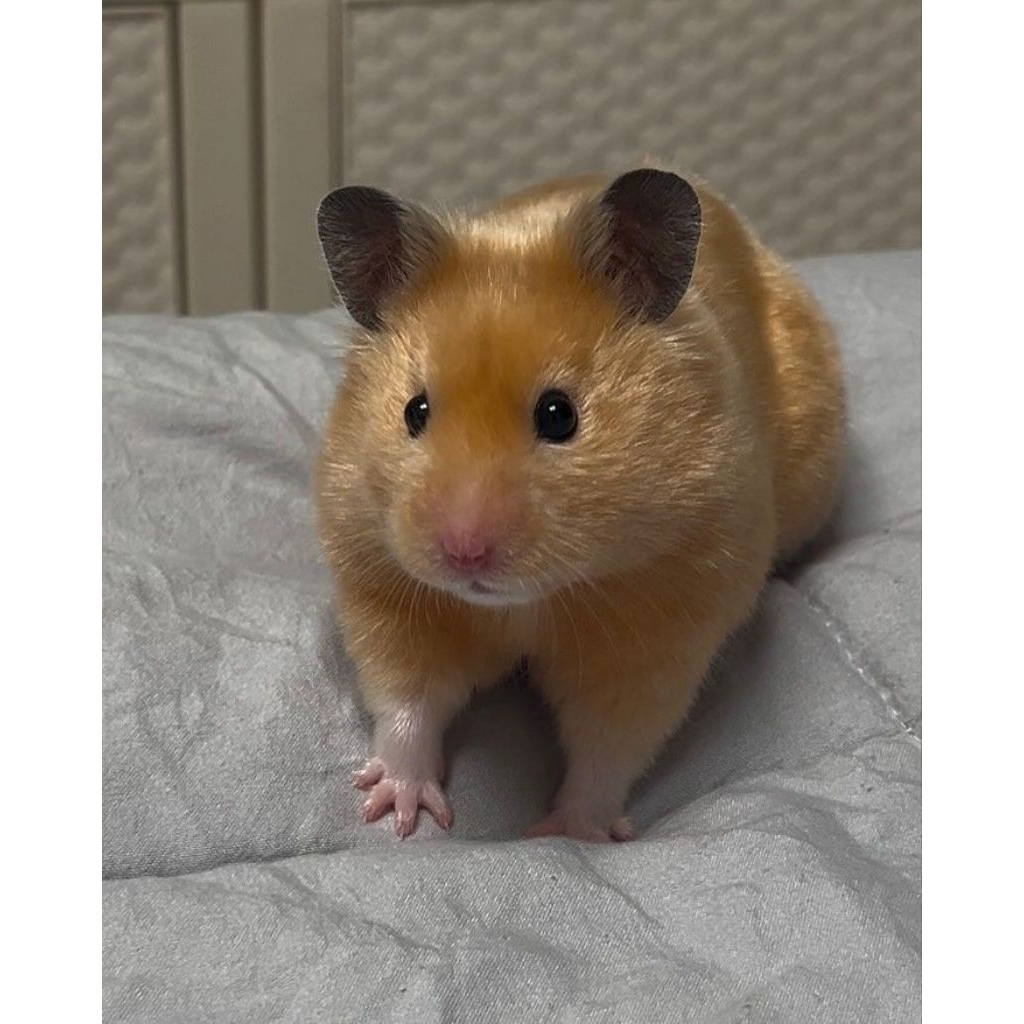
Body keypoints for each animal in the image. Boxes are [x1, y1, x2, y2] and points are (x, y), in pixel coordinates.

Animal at [315, 169, 845, 840]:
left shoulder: (658, 633)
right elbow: (408, 701)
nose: (464, 554)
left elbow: (608, 747)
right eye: (415, 411)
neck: (525, 603)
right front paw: (394, 811)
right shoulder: (388, 593)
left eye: (558, 415)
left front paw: (566, 833)